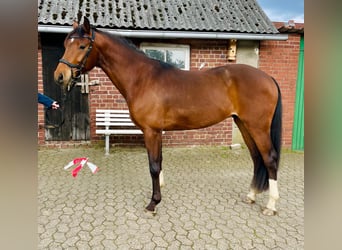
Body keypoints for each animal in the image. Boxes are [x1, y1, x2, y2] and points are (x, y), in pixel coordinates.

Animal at [54, 16, 284, 216]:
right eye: (66, 44)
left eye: (82, 46)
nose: (60, 76)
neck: (142, 78)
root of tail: (268, 78)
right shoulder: (157, 132)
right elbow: (159, 162)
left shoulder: (151, 131)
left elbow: (154, 166)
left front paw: (153, 203)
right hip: (244, 124)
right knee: (256, 158)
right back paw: (251, 195)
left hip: (257, 127)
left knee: (270, 159)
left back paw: (271, 206)